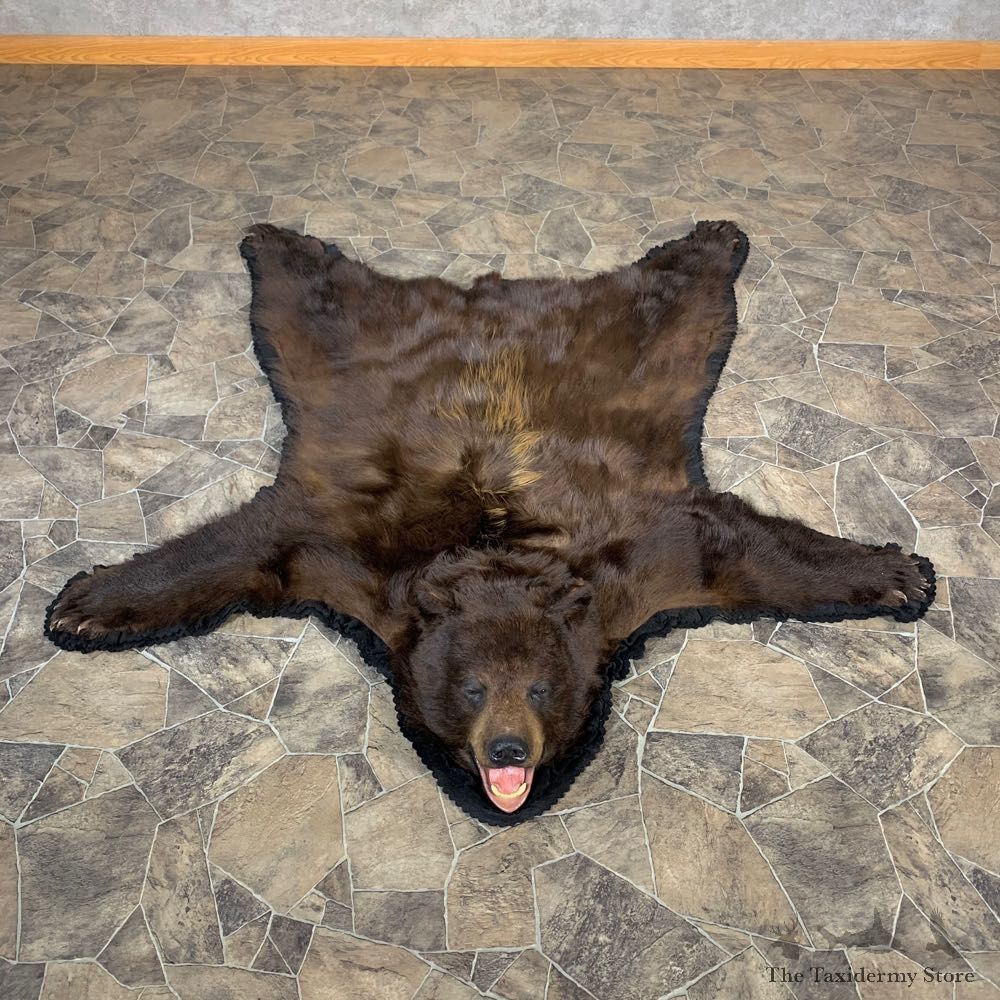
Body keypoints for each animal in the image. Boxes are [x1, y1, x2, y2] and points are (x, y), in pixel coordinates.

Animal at [46, 221, 934, 819]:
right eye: (471, 689)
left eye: (540, 688)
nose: (509, 750)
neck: (496, 546)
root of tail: (491, 296)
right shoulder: (348, 550)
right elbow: (245, 549)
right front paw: (81, 605)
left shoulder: (641, 556)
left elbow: (741, 552)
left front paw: (902, 574)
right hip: (339, 343)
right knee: (311, 292)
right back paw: (273, 240)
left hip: (643, 342)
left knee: (677, 287)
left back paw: (716, 236)